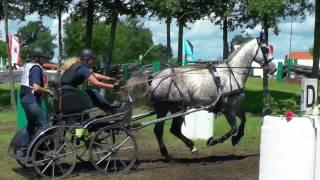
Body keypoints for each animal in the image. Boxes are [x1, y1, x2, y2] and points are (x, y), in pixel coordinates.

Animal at [124, 38, 274, 160]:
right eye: (266, 49)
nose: (273, 69)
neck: (232, 73)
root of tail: (155, 77)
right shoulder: (228, 109)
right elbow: (234, 127)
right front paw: (213, 141)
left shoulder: (235, 106)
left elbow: (243, 120)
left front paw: (236, 139)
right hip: (179, 109)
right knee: (174, 130)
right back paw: (192, 147)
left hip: (163, 109)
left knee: (159, 131)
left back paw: (166, 153)